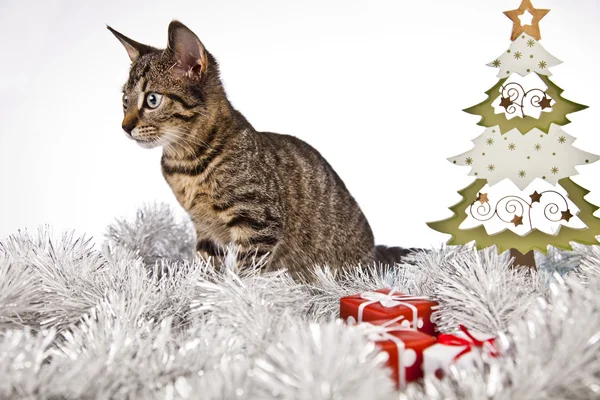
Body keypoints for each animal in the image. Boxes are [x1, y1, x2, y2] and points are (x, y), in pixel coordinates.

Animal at [110, 20, 414, 280]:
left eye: (152, 100)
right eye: (125, 100)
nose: (124, 126)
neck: (186, 163)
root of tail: (373, 253)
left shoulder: (258, 223)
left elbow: (245, 274)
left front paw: (233, 297)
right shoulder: (206, 230)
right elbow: (206, 269)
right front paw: (202, 292)